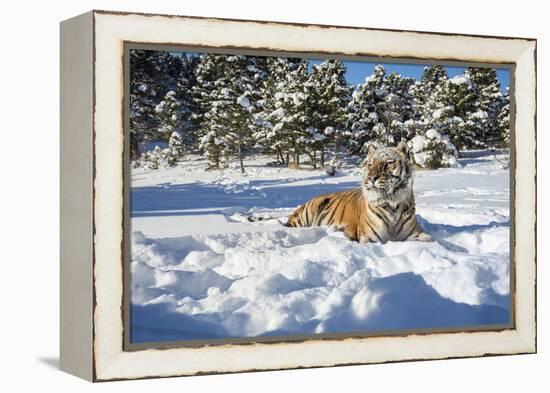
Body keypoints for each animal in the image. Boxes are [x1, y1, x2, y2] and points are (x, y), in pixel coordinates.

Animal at [286, 141, 434, 242]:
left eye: (388, 163)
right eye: (370, 165)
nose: (371, 178)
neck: (393, 205)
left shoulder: (415, 234)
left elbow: (428, 239)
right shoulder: (370, 237)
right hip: (307, 213)